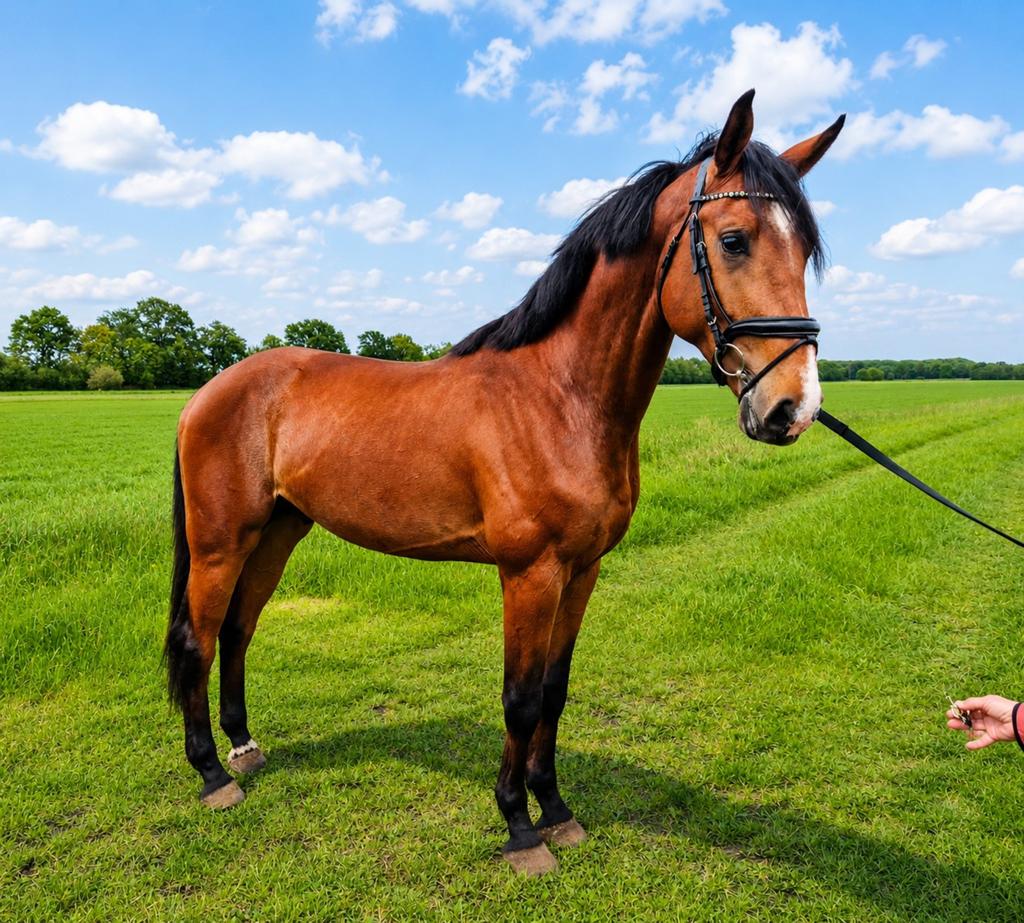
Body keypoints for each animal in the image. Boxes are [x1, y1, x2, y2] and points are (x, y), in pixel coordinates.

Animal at [165, 89, 844, 876]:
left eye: (804, 250)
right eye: (734, 240)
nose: (794, 408)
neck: (557, 397)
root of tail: (209, 390)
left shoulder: (582, 570)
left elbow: (553, 690)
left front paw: (557, 810)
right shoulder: (529, 572)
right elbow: (519, 698)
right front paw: (520, 826)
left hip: (278, 530)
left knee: (238, 630)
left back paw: (244, 749)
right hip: (221, 540)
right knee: (199, 639)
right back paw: (211, 774)